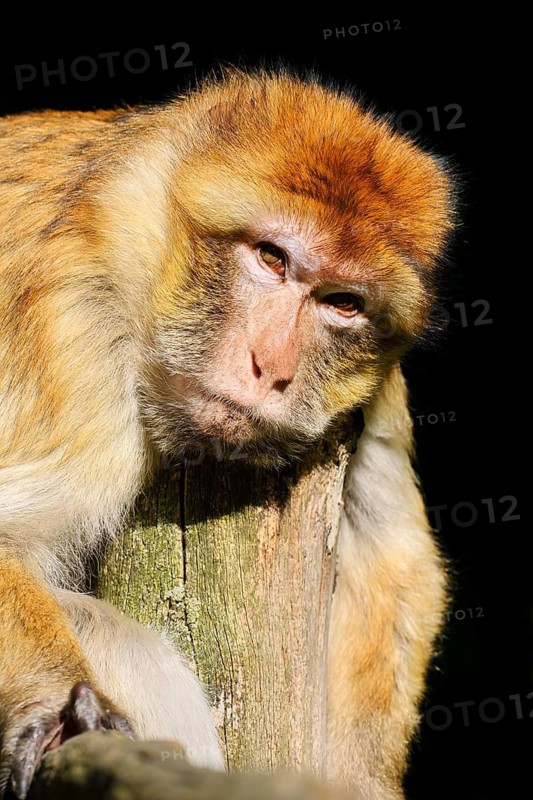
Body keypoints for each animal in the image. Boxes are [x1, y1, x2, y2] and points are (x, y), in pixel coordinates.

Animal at [0, 68, 455, 799]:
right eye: (271, 258)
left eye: (343, 303)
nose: (270, 367)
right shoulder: (73, 344)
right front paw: (55, 709)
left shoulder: (377, 389)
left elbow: (387, 559)